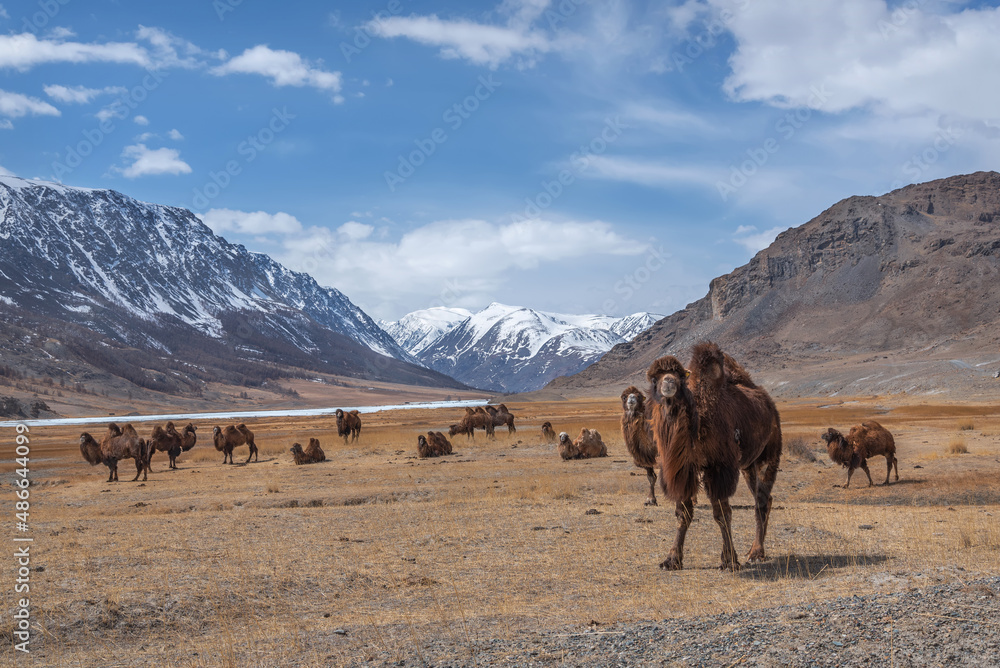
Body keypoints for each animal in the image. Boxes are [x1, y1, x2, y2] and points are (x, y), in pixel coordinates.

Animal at [644, 348, 784, 572]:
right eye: (655, 379)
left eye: (681, 376)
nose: (669, 383)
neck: (698, 423)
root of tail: (769, 405)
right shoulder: (685, 470)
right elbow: (683, 513)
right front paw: (671, 559)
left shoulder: (719, 467)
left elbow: (722, 513)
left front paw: (730, 560)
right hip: (747, 466)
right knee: (763, 498)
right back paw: (755, 550)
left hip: (769, 452)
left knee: (761, 500)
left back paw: (756, 553)